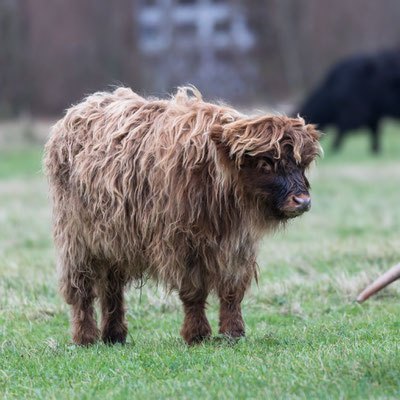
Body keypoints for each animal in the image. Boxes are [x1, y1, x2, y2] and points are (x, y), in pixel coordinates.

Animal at [43, 89, 322, 346]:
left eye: (300, 164)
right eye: (266, 163)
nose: (302, 201)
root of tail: (84, 105)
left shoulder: (238, 245)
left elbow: (232, 291)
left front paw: (233, 333)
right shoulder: (181, 243)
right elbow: (193, 292)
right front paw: (197, 334)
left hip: (113, 242)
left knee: (112, 289)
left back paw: (115, 335)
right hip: (77, 240)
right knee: (81, 290)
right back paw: (86, 337)